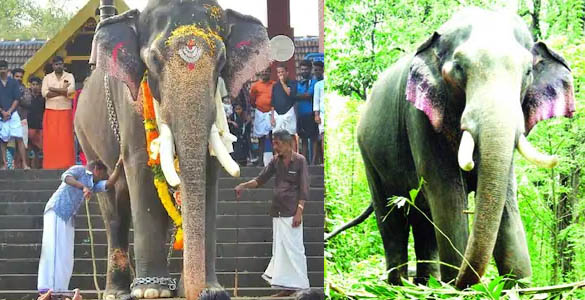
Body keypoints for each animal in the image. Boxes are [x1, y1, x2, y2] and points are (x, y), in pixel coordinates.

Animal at [73, 1, 272, 298]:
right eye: (154, 60)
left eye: (221, 61)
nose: (199, 292)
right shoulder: (129, 105)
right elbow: (141, 168)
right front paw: (151, 291)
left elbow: (209, 169)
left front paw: (212, 289)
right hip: (87, 141)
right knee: (113, 205)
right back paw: (117, 292)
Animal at [328, 7, 576, 288]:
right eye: (458, 69)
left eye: (527, 72)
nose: (461, 281)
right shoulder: (419, 119)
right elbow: (446, 193)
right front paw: (459, 287)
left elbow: (506, 197)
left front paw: (519, 287)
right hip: (369, 158)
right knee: (392, 220)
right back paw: (400, 285)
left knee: (424, 223)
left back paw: (426, 283)